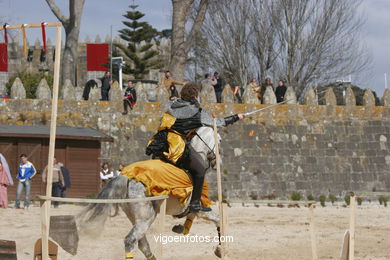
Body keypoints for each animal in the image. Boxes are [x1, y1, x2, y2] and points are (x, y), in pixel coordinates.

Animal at [78, 125, 222, 258]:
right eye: (219, 140)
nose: (218, 163)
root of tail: (128, 177)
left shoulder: (192, 210)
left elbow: (189, 222)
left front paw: (179, 228)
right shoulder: (202, 209)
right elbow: (218, 220)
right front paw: (219, 250)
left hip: (135, 217)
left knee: (142, 244)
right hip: (146, 217)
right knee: (131, 240)